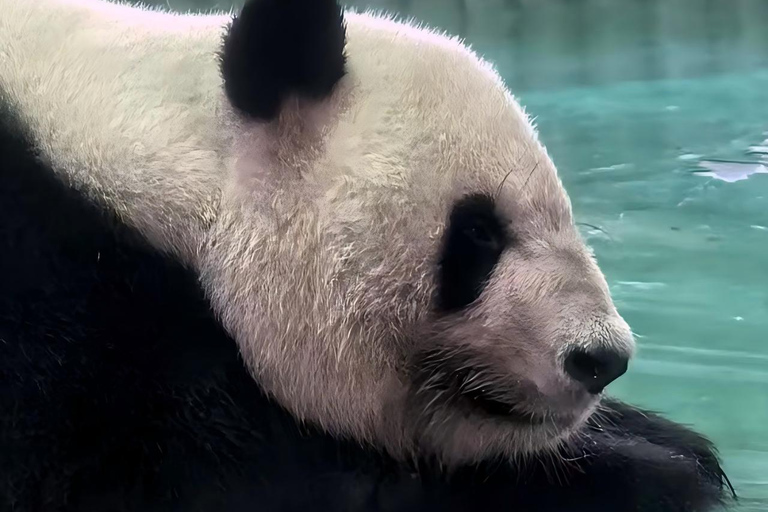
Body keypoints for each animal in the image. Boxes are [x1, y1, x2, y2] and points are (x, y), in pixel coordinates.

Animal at [0, 0, 735, 510]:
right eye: (478, 234)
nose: (600, 359)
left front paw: (664, 442)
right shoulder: (65, 332)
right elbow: (235, 484)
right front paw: (647, 473)